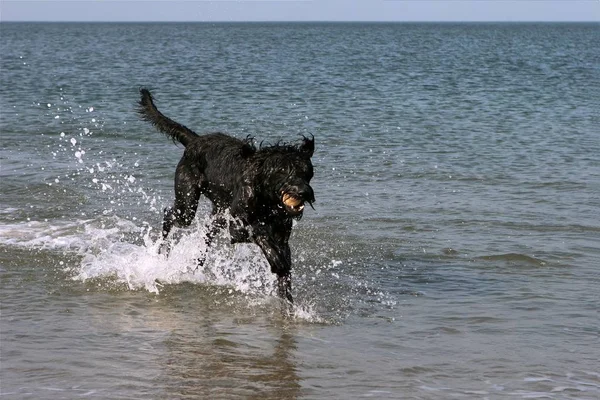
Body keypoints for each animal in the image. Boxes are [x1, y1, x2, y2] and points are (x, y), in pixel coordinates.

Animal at [136, 89, 314, 302]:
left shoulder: (282, 236)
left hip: (217, 216)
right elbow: (260, 233)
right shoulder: (237, 227)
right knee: (169, 215)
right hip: (187, 204)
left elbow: (285, 274)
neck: (267, 201)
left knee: (205, 238)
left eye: (306, 171)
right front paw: (276, 260)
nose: (303, 192)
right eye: (282, 171)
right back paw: (162, 250)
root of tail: (195, 140)